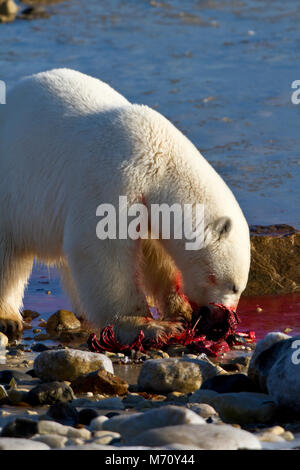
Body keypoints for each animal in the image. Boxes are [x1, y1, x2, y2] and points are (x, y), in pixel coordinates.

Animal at [0, 69, 251, 342]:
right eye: (233, 286)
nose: (223, 320)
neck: (158, 161)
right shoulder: (113, 178)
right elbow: (102, 248)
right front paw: (148, 325)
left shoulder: (145, 204)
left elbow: (154, 255)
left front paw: (180, 308)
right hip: (12, 194)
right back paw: (8, 318)